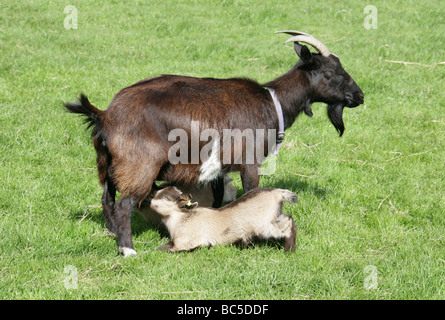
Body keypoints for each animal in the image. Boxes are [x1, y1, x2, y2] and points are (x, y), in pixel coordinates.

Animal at [67, 31, 364, 256]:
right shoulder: (249, 161)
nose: (360, 96)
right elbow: (250, 192)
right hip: (139, 166)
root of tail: (105, 116)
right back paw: (127, 249)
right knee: (124, 204)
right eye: (334, 72)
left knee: (106, 198)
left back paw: (111, 233)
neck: (273, 101)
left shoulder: (216, 167)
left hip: (106, 163)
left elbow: (220, 198)